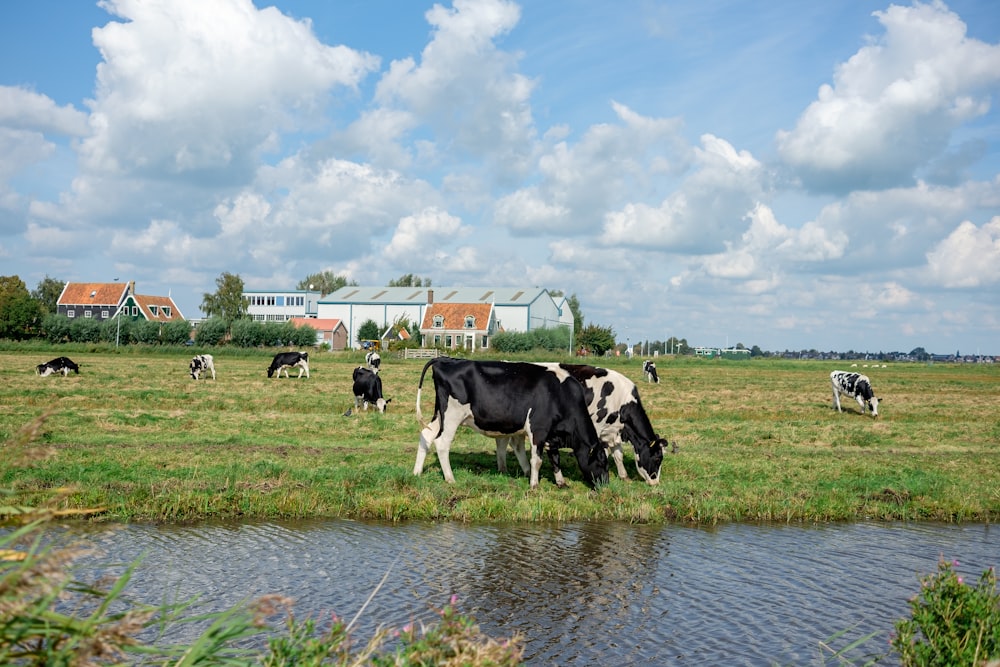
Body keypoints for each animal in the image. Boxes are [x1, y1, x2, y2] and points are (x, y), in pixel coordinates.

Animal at [414, 358, 608, 488]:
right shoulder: (538, 428)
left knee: (426, 435)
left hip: (440, 415)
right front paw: (534, 484)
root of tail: (445, 359)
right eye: (601, 463)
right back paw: (450, 478)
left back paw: (417, 472)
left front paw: (560, 482)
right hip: (452, 415)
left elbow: (554, 457)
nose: (606, 485)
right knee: (442, 443)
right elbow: (537, 460)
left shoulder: (551, 434)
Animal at [496, 366, 668, 486]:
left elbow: (618, 455)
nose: (655, 482)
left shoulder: (613, 430)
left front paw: (624, 476)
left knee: (510, 443)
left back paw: (508, 469)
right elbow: (601, 453)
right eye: (657, 457)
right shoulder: (597, 427)